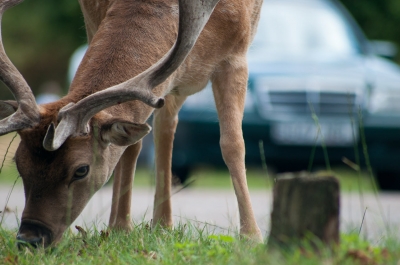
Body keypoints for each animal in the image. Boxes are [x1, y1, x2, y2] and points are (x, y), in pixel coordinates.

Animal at [0, 0, 262, 246]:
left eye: (81, 170)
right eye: (19, 164)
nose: (30, 238)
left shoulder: (236, 57)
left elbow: (233, 145)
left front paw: (251, 236)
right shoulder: (93, 20)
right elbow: (129, 145)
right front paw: (121, 227)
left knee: (165, 127)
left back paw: (161, 224)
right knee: (154, 132)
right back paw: (147, 224)